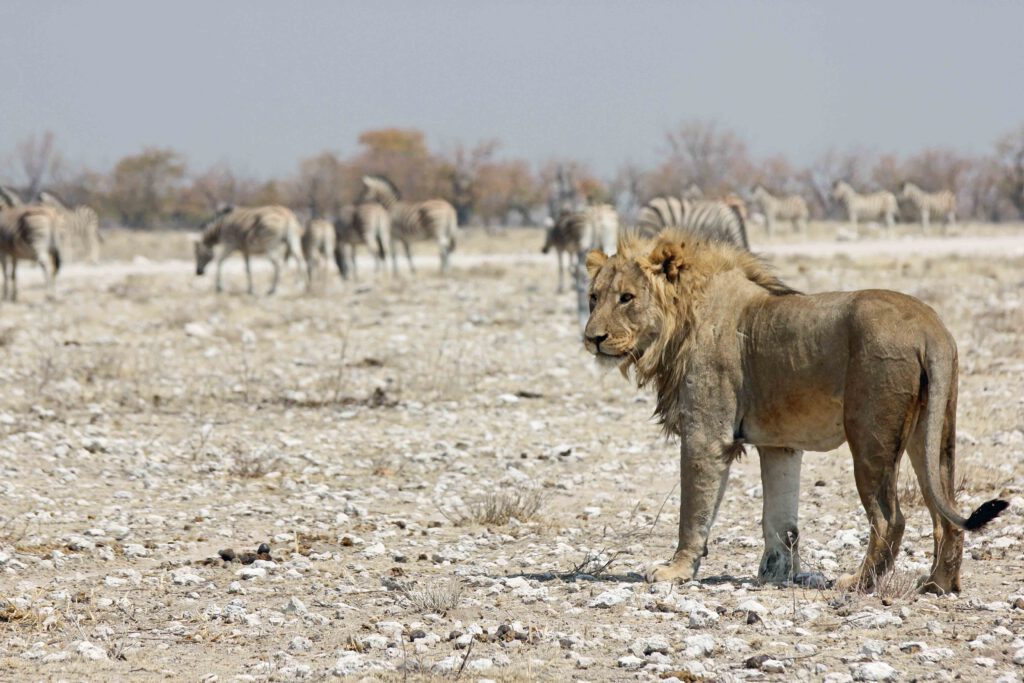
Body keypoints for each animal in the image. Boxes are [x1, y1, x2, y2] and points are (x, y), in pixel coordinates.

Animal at [585, 229, 1007, 593]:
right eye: (593, 297)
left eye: (626, 298)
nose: (592, 338)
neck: (679, 322)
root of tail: (928, 325)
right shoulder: (780, 444)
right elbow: (780, 520)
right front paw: (777, 574)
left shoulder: (706, 436)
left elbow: (694, 512)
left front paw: (674, 571)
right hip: (933, 431)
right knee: (946, 512)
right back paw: (938, 585)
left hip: (870, 436)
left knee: (890, 518)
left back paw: (859, 583)